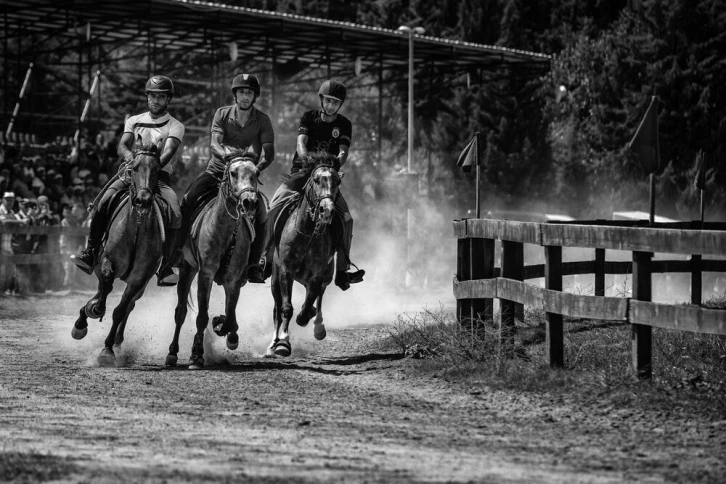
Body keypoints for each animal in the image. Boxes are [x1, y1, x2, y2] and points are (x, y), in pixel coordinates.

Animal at [71, 138, 166, 364]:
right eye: (135, 168)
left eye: (157, 169)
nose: (143, 200)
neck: (136, 228)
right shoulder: (108, 261)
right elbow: (106, 284)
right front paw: (94, 310)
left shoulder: (140, 278)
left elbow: (120, 311)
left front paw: (107, 350)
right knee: (102, 290)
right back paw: (83, 319)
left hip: (138, 286)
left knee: (128, 305)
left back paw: (117, 341)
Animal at [168, 149, 262, 368]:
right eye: (233, 173)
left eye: (256, 173)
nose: (249, 202)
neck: (226, 231)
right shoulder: (206, 273)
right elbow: (202, 317)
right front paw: (196, 355)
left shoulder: (233, 280)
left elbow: (231, 316)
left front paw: (225, 329)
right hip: (187, 269)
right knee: (181, 312)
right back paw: (173, 353)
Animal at [270, 150, 344, 356]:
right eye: (316, 179)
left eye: (337, 181)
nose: (327, 210)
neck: (308, 233)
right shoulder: (285, 272)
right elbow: (286, 308)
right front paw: (283, 343)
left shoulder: (317, 276)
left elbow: (308, 304)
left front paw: (307, 317)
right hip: (274, 279)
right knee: (277, 309)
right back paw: (272, 345)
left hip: (326, 276)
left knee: (318, 298)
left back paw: (318, 325)